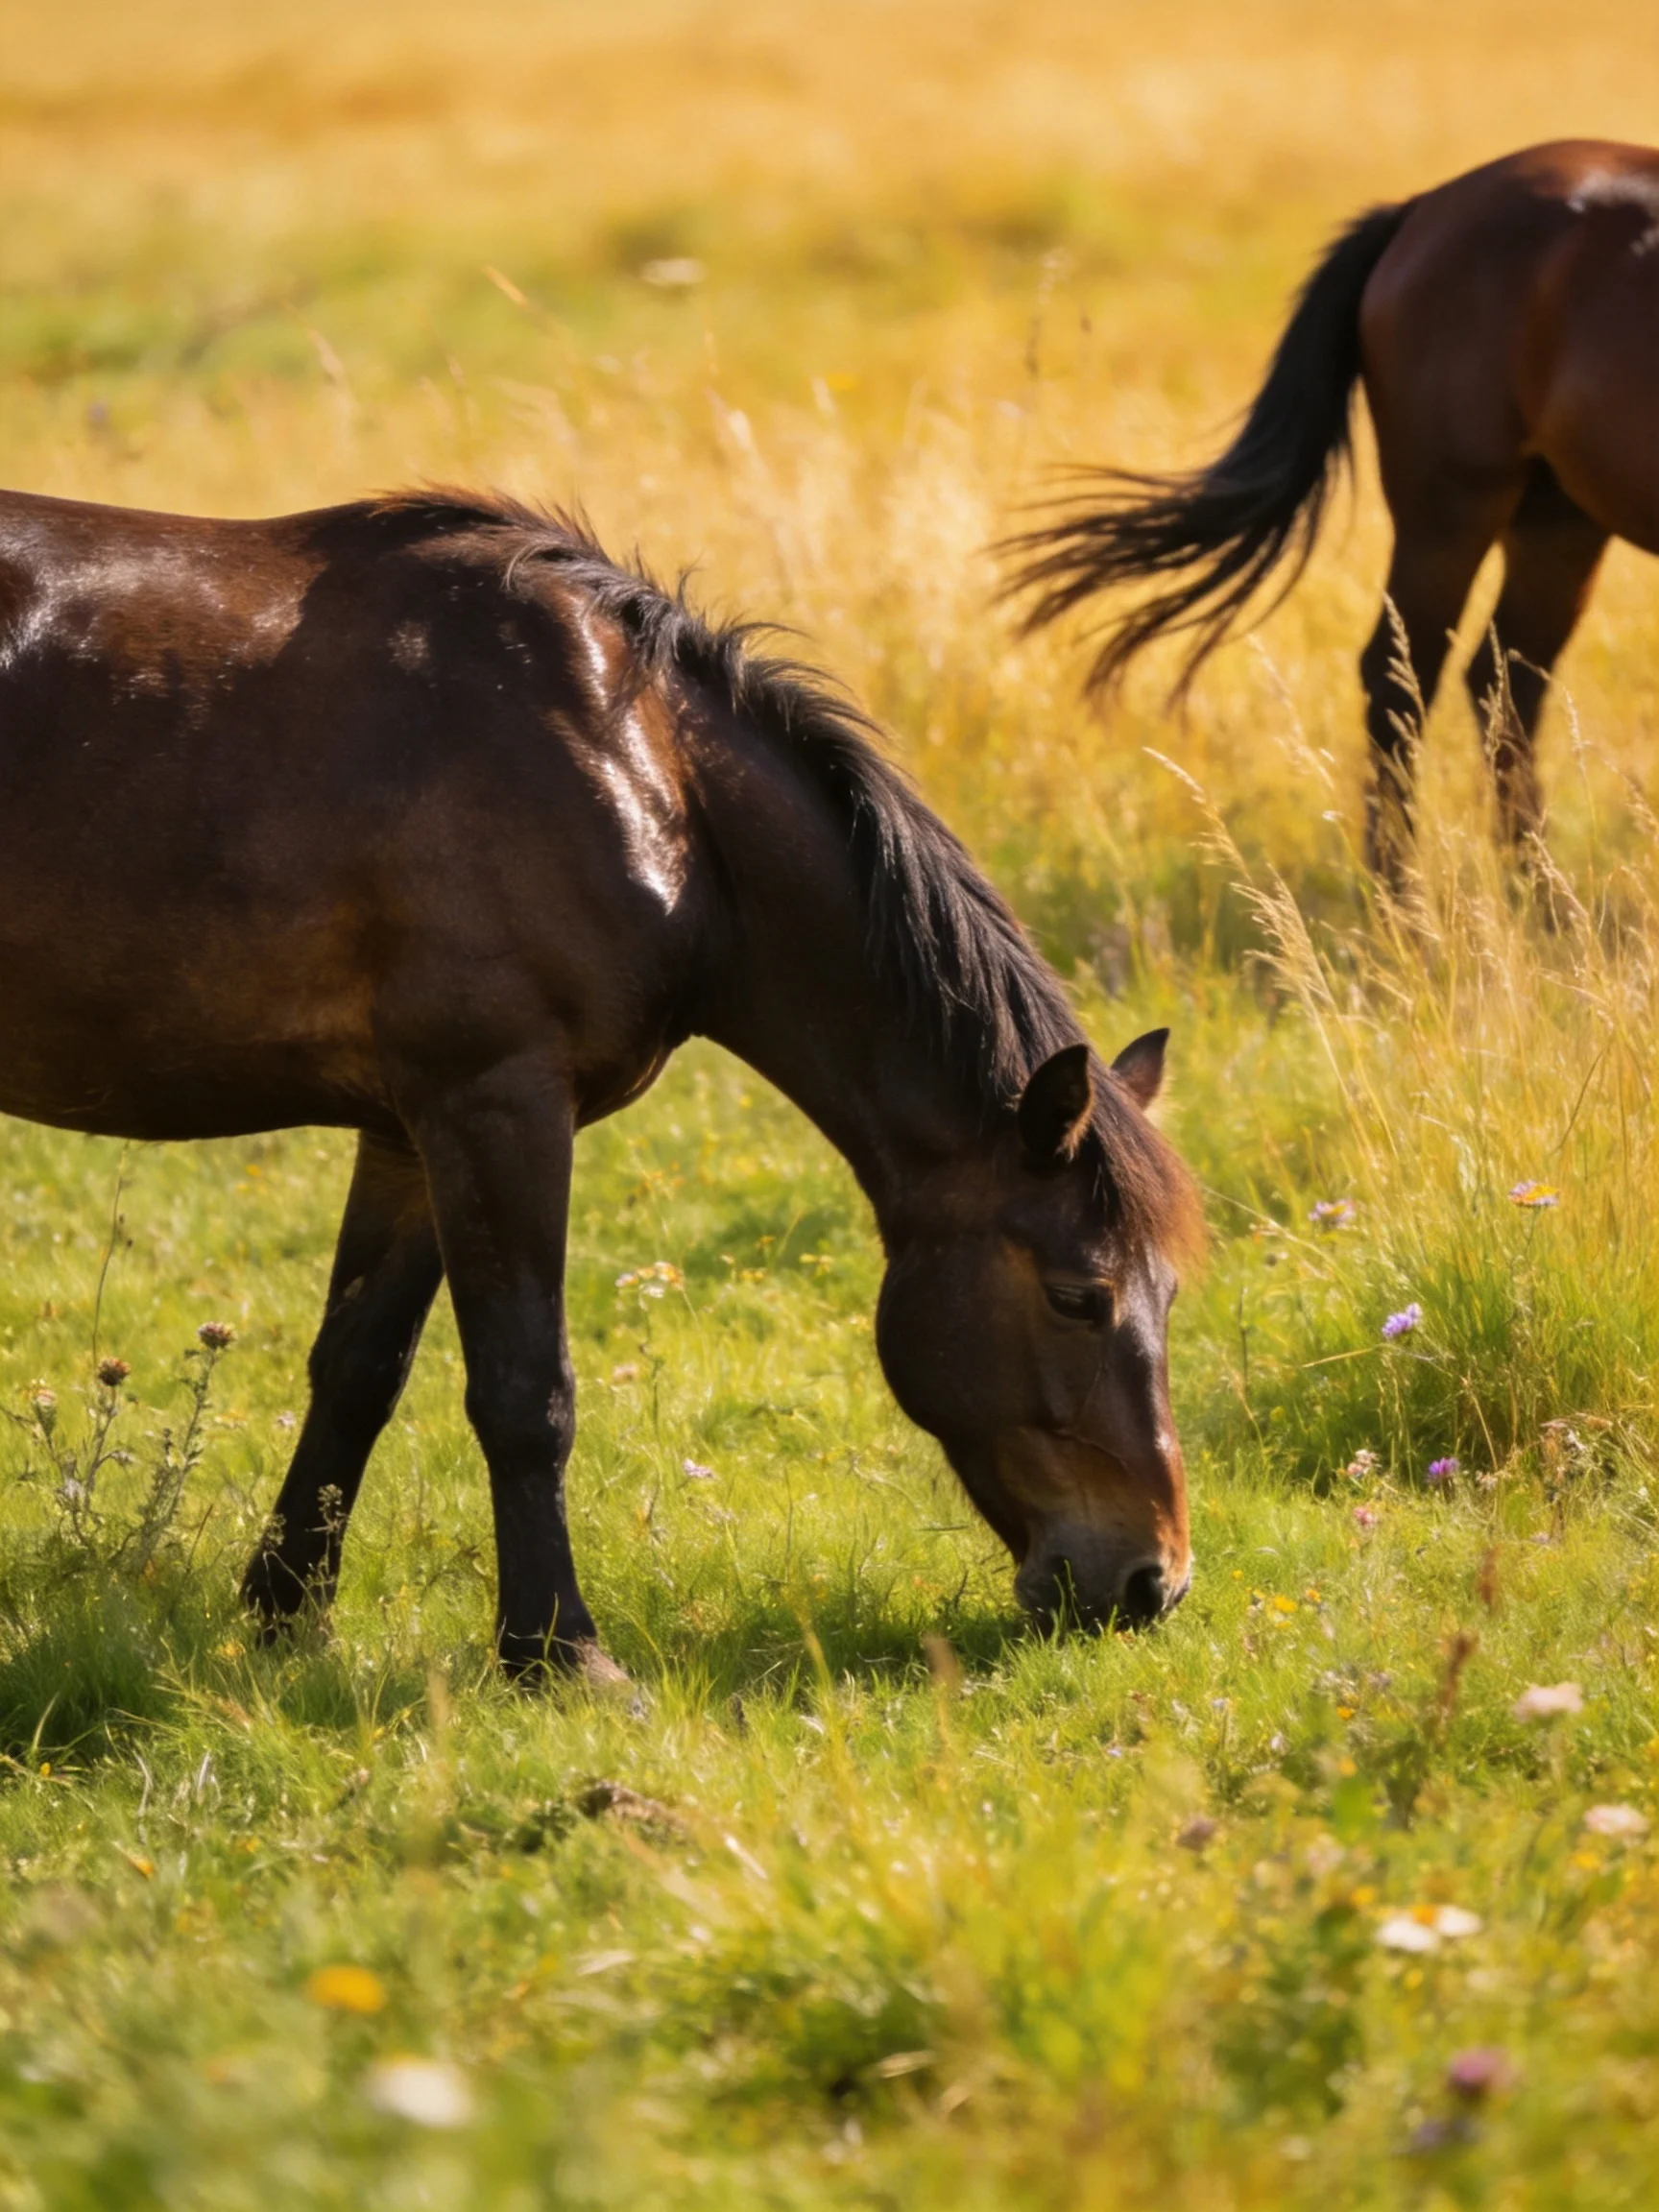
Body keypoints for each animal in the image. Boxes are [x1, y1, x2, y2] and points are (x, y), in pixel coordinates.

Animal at [0, 487, 1202, 1680]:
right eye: (1079, 1297)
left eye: (1168, 1296)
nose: (1154, 1583)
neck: (651, 780)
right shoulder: (499, 1104)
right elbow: (525, 1392)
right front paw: (558, 1652)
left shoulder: (408, 1130)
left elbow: (359, 1369)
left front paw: (287, 1616)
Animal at [1004, 139, 1659, 883]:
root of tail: (1422, 208)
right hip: (1448, 508)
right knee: (1404, 679)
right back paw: (1406, 904)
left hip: (1560, 519)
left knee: (1504, 684)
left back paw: (1541, 900)